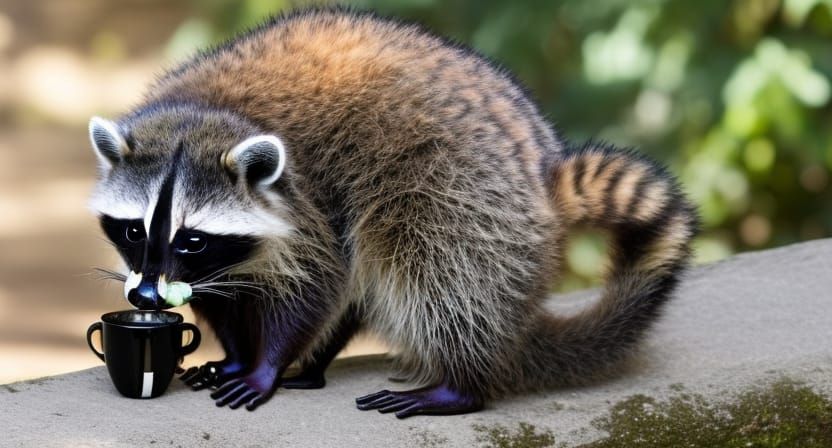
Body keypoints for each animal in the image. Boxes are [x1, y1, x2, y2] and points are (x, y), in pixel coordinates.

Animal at [88, 9, 698, 418]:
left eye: (191, 238)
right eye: (134, 230)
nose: (146, 298)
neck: (200, 118)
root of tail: (539, 169)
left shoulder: (307, 196)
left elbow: (318, 281)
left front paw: (265, 365)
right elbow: (225, 296)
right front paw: (239, 354)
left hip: (461, 188)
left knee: (440, 273)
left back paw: (460, 383)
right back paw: (316, 365)